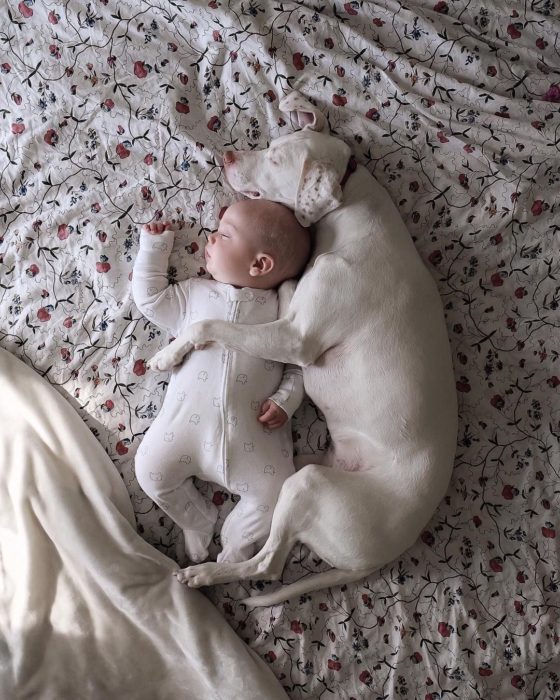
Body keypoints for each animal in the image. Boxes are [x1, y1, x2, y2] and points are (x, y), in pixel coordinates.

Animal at [151, 93, 458, 608]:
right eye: (272, 142)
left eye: (276, 160)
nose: (228, 155)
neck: (354, 211)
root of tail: (384, 555)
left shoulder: (295, 337)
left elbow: (213, 324)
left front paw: (170, 354)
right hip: (307, 473)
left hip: (307, 486)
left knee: (267, 566)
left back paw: (207, 573)